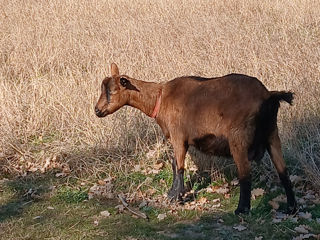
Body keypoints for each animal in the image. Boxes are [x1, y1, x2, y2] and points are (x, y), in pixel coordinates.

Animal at [95, 63, 298, 214]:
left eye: (113, 91)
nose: (97, 111)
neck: (160, 97)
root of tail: (269, 96)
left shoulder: (178, 136)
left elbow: (179, 166)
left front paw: (176, 198)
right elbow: (175, 164)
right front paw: (173, 194)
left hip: (238, 138)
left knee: (245, 173)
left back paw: (242, 209)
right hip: (272, 134)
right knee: (283, 170)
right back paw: (291, 208)